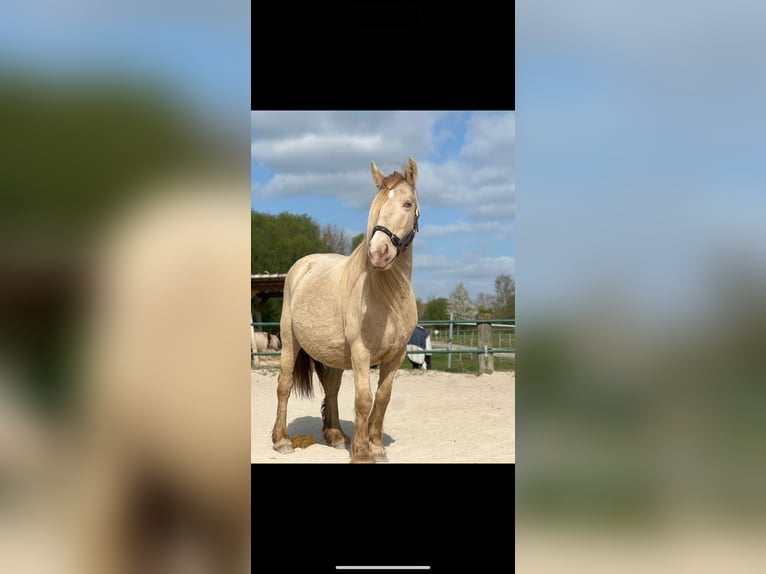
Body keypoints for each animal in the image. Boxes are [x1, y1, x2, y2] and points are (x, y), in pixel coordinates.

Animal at [271, 157, 420, 463]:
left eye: (407, 203)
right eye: (376, 205)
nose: (378, 252)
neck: (386, 297)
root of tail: (302, 266)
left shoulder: (396, 355)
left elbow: (382, 398)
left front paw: (376, 447)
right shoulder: (361, 353)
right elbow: (363, 399)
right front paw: (362, 453)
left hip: (334, 355)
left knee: (331, 387)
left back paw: (336, 435)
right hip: (290, 343)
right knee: (284, 384)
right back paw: (281, 440)